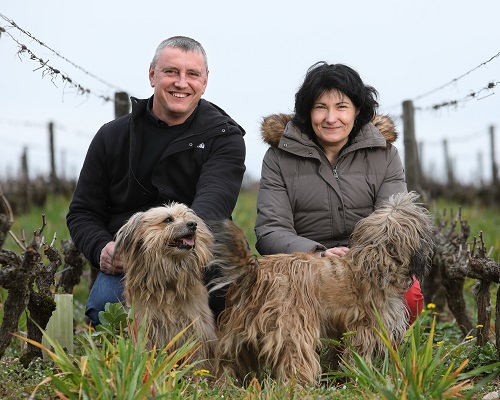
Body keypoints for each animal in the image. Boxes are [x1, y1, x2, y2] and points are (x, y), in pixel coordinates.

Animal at [114, 203, 218, 366]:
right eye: (168, 219)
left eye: (188, 217)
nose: (193, 224)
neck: (168, 284)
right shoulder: (145, 327)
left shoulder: (196, 328)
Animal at [209, 192, 436, 386]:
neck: (374, 259)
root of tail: (256, 274)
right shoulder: (365, 327)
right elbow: (360, 355)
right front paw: (365, 377)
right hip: (293, 328)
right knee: (295, 360)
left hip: (237, 330)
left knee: (229, 360)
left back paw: (226, 385)